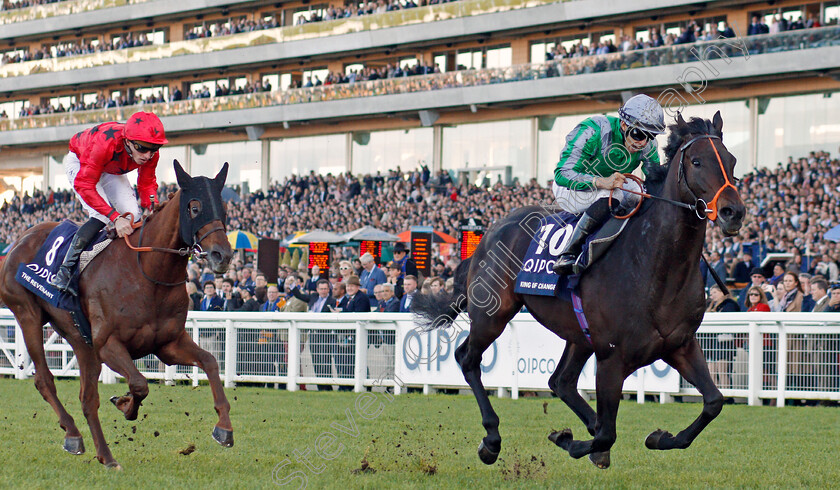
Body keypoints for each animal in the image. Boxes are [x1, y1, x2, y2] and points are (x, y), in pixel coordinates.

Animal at [0, 161, 235, 468]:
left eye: (224, 208)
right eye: (194, 207)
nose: (223, 255)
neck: (148, 272)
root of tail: (19, 240)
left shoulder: (168, 344)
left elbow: (210, 362)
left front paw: (224, 428)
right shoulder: (108, 344)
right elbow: (139, 383)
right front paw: (125, 405)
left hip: (80, 340)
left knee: (87, 399)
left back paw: (105, 456)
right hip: (27, 315)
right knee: (44, 380)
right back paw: (74, 434)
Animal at [410, 113, 744, 468]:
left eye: (732, 160)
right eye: (697, 162)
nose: (733, 212)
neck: (657, 266)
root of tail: (490, 232)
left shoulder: (680, 344)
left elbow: (714, 401)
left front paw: (658, 437)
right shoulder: (612, 357)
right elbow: (607, 434)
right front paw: (568, 439)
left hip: (577, 333)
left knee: (561, 381)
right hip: (492, 314)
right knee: (468, 358)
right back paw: (491, 439)